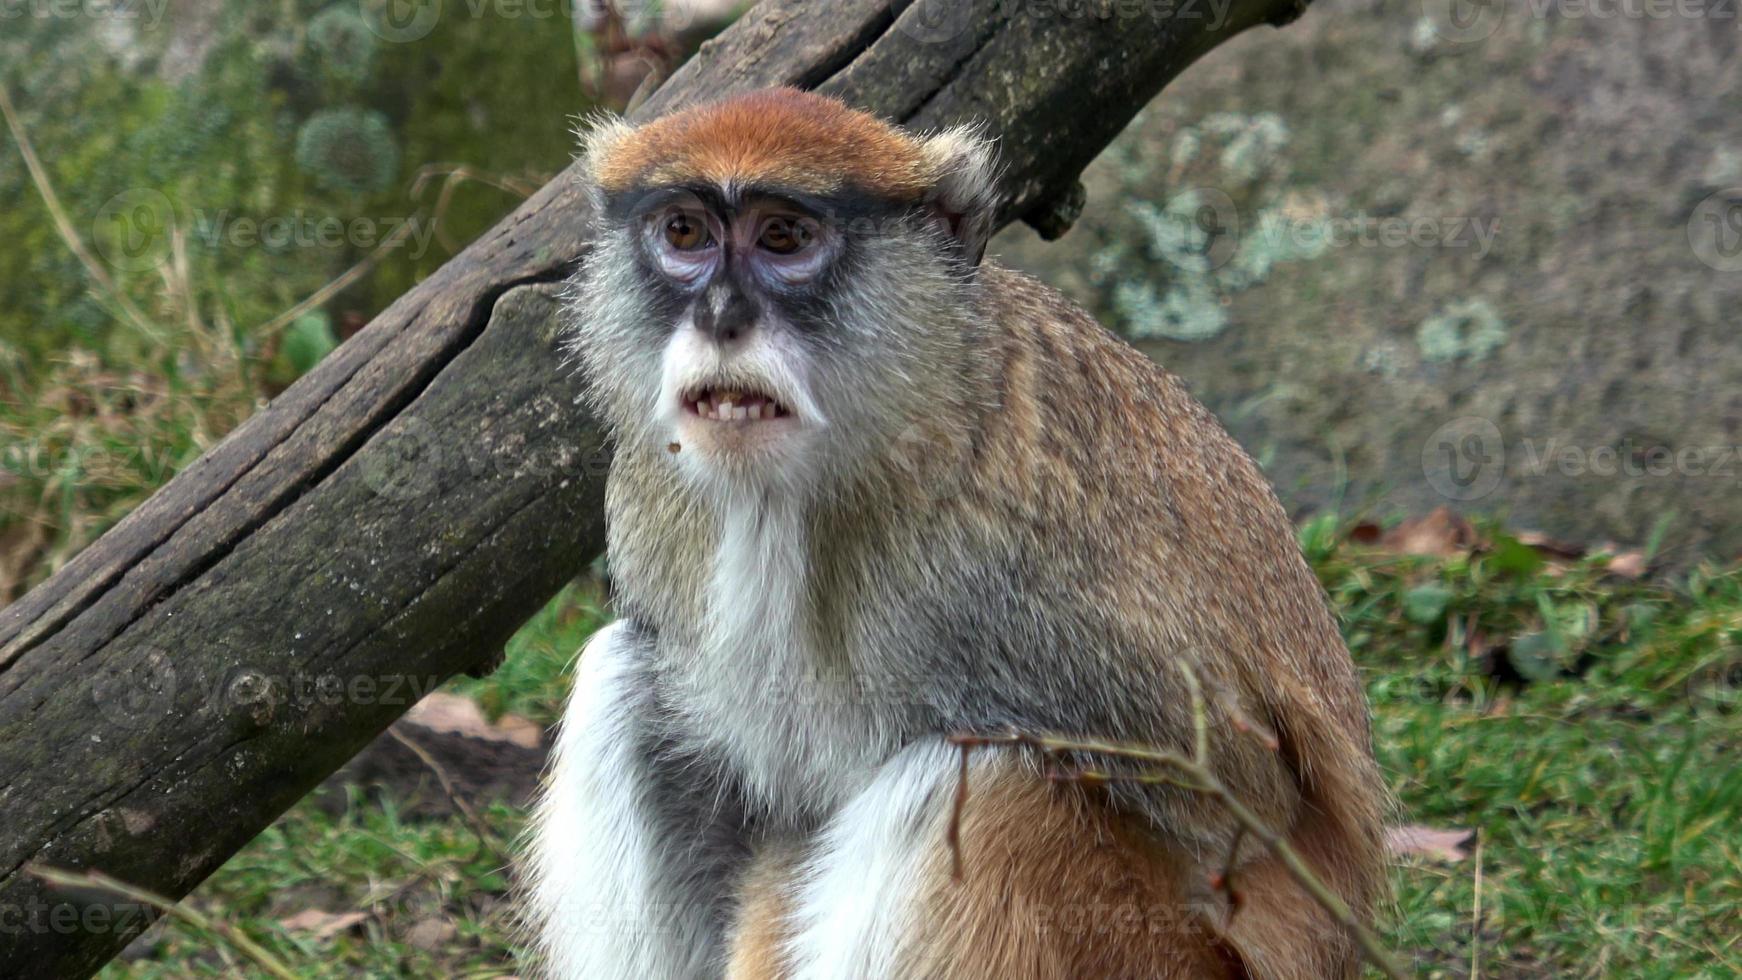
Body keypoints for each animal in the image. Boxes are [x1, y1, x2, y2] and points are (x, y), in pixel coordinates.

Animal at [529, 88, 1386, 974]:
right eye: (684, 233)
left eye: (784, 237)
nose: (721, 317)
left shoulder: (1013, 579)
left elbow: (1238, 810)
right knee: (626, 675)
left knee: (975, 776)